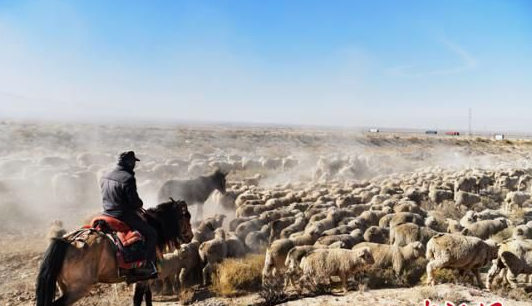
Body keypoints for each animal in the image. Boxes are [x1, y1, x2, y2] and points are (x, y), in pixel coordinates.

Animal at [35, 200, 193, 306]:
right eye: (186, 217)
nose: (190, 236)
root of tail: (67, 241)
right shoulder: (144, 278)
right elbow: (139, 299)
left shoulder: (143, 279)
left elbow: (146, 297)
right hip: (78, 289)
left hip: (64, 287)